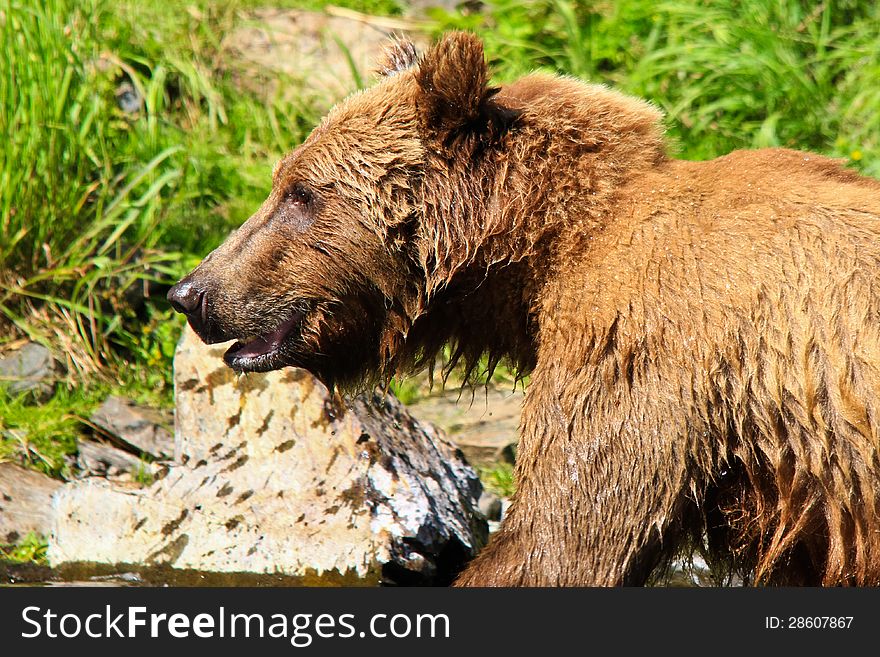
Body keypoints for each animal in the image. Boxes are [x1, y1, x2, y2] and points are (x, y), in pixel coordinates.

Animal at [167, 32, 880, 584]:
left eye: (300, 192)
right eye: (283, 182)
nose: (192, 292)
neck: (540, 256)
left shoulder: (638, 354)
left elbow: (559, 538)